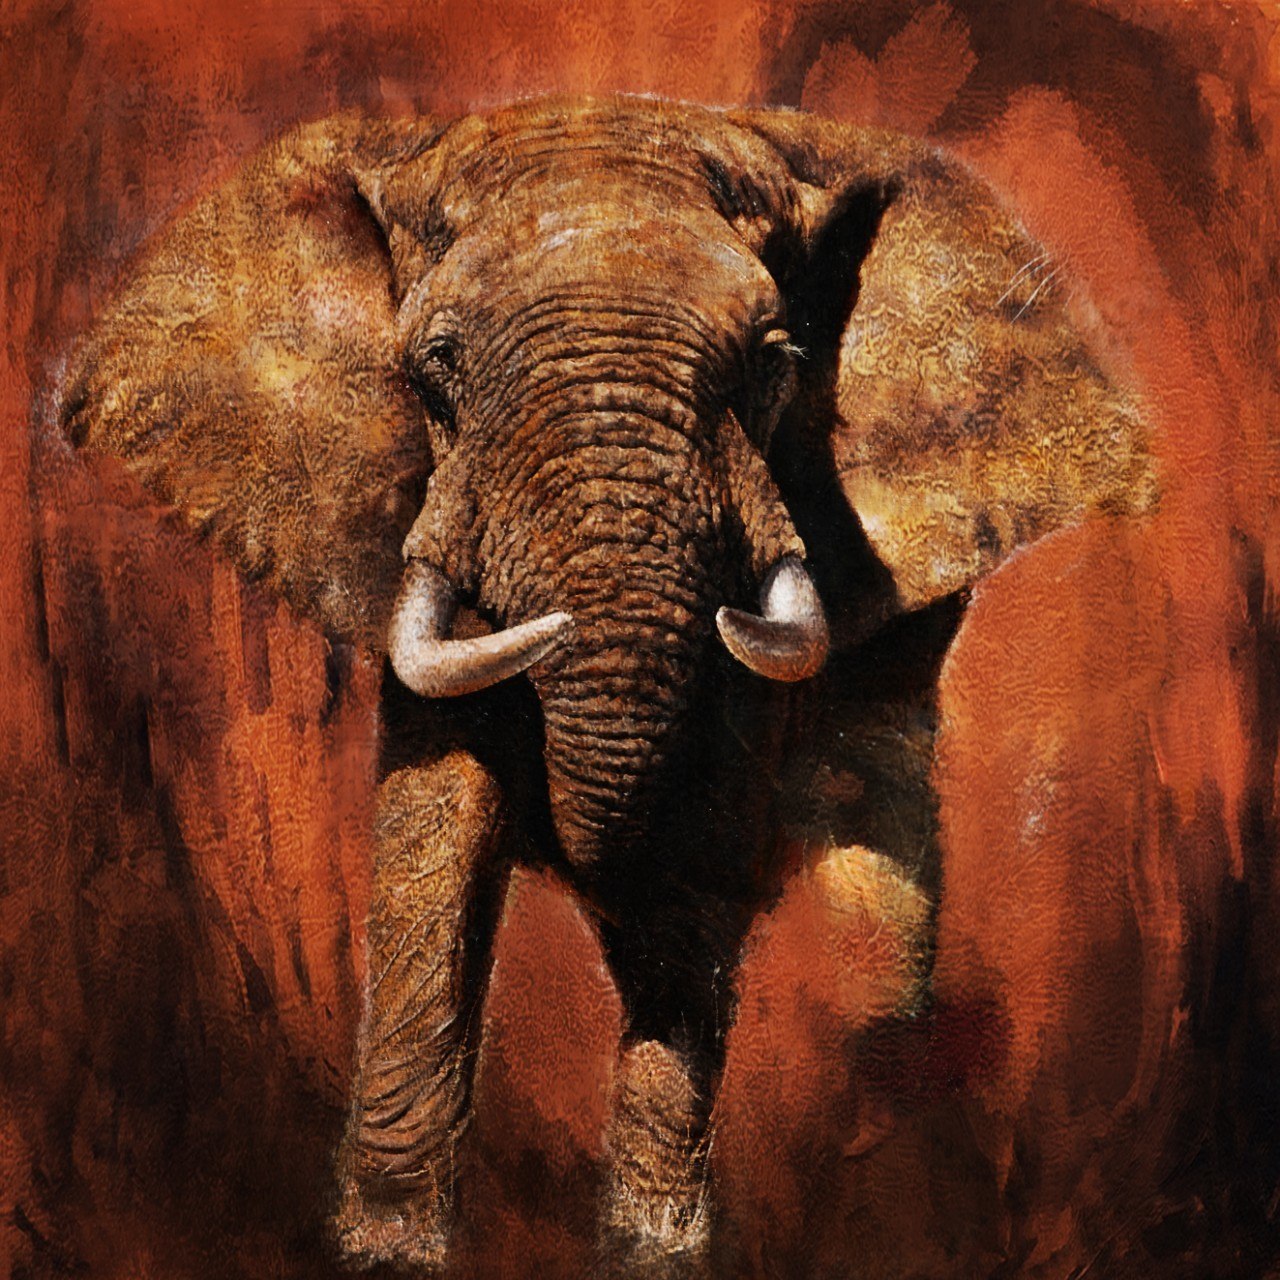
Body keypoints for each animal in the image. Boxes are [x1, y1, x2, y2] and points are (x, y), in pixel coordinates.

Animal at [58, 94, 1153, 1272]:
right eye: (435, 362)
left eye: (775, 361)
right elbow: (438, 820)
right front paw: (390, 1247)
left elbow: (704, 849)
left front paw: (652, 1245)